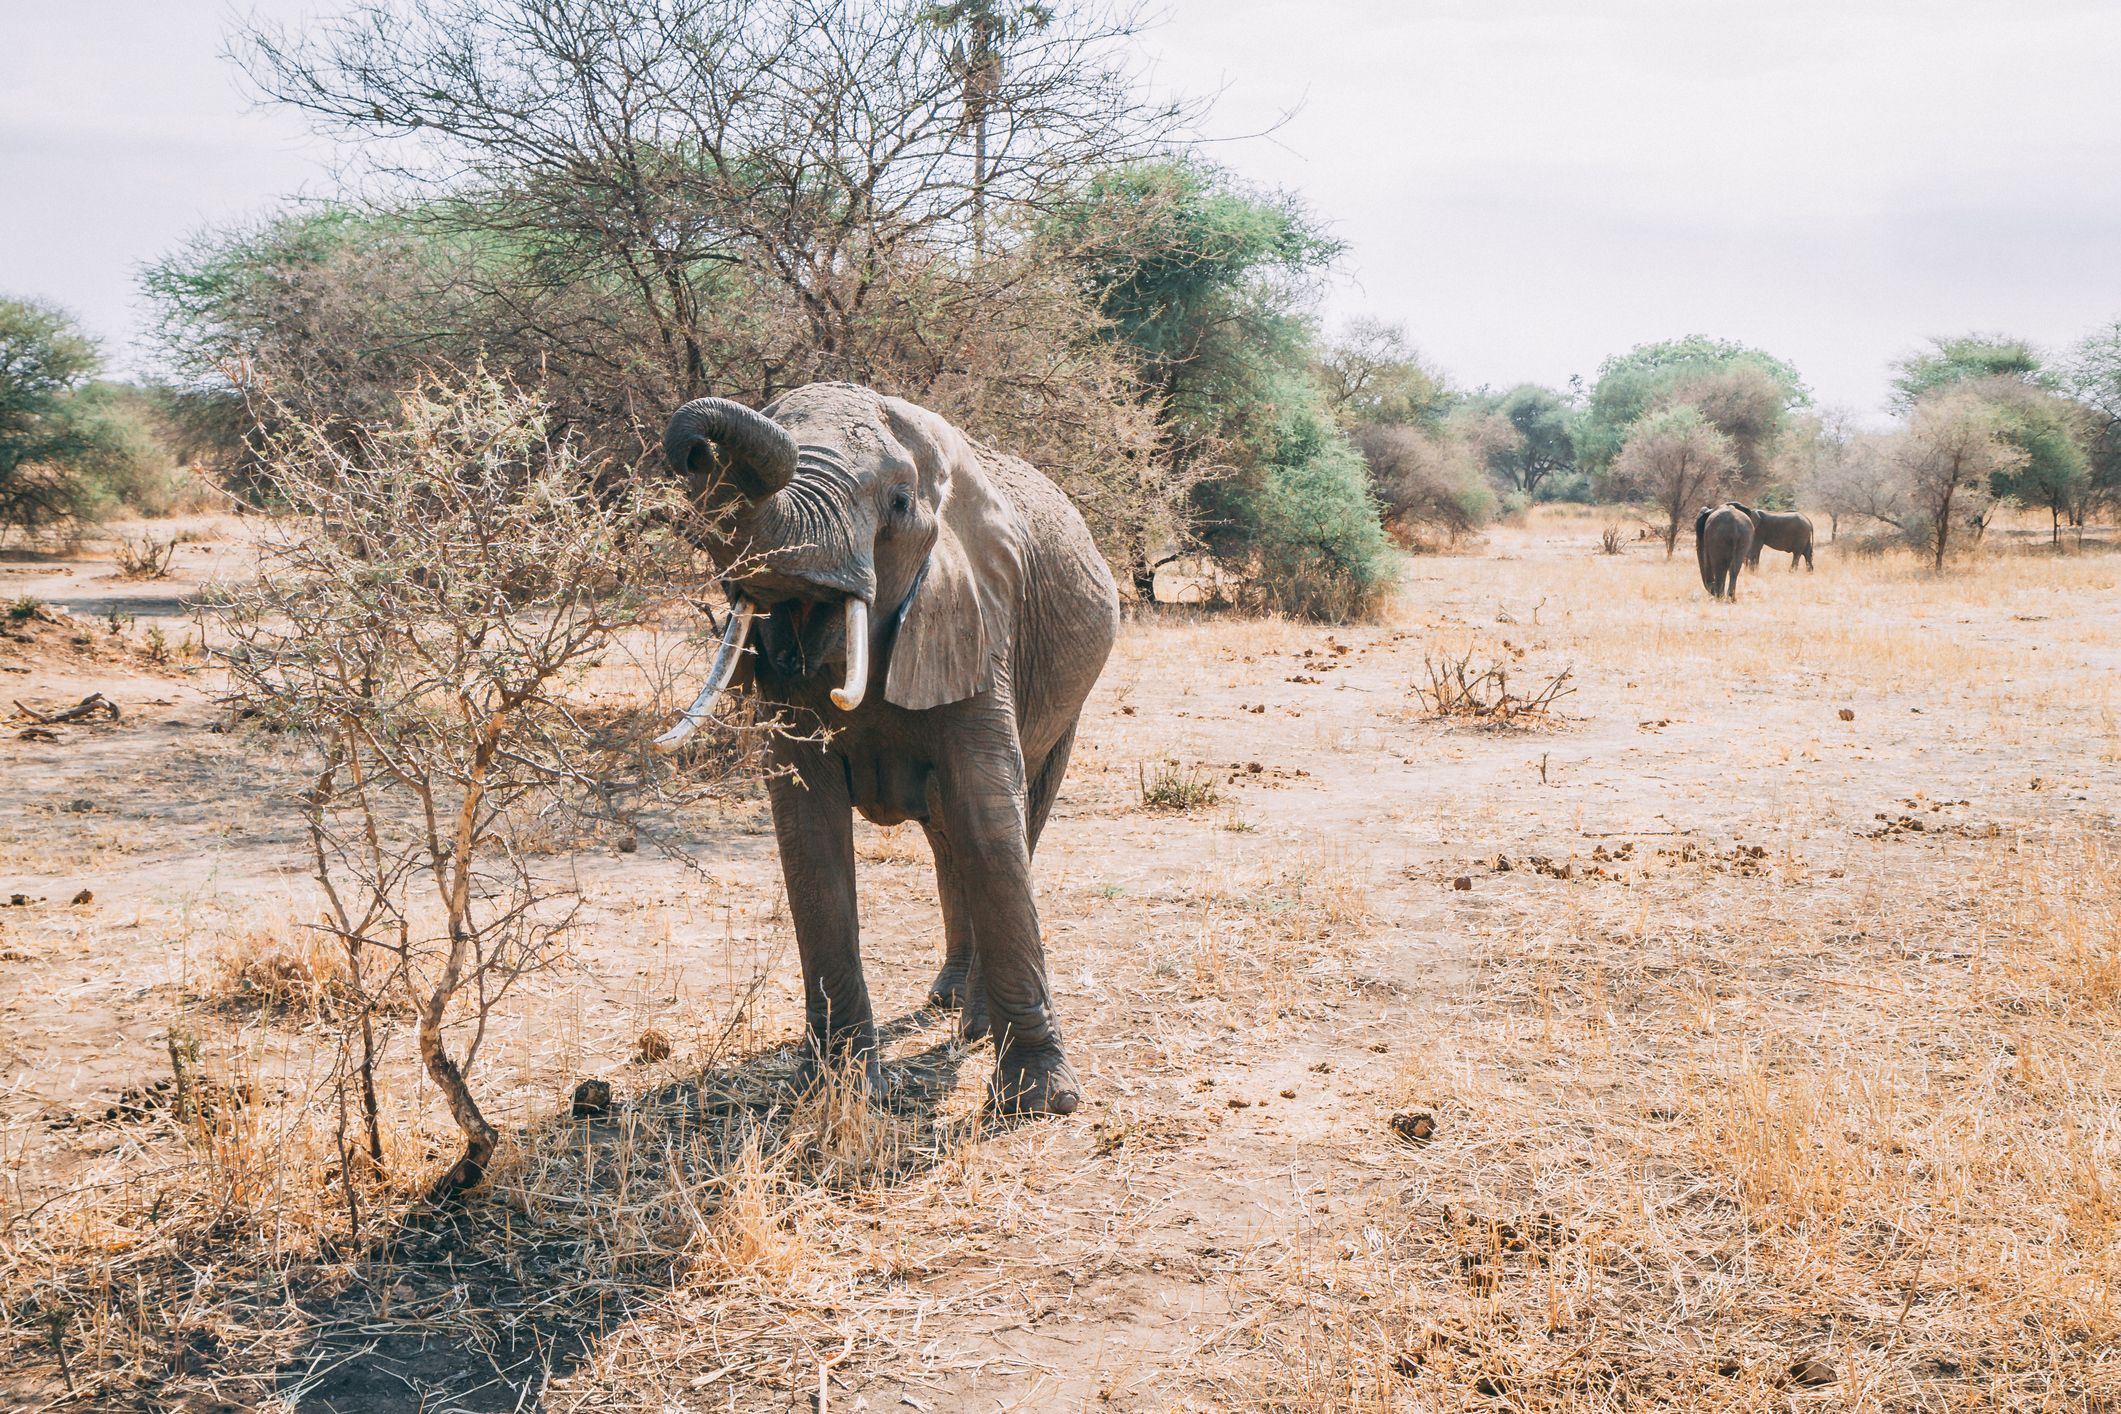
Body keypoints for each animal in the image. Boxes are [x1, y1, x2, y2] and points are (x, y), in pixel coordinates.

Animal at [649, 383, 1119, 1119]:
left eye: (898, 503)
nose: (697, 447)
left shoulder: (981, 616)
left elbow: (989, 818)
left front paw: (1038, 1102)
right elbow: (808, 832)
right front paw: (839, 1090)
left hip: (1065, 699)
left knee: (1012, 819)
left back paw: (972, 1024)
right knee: (946, 838)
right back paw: (950, 1002)